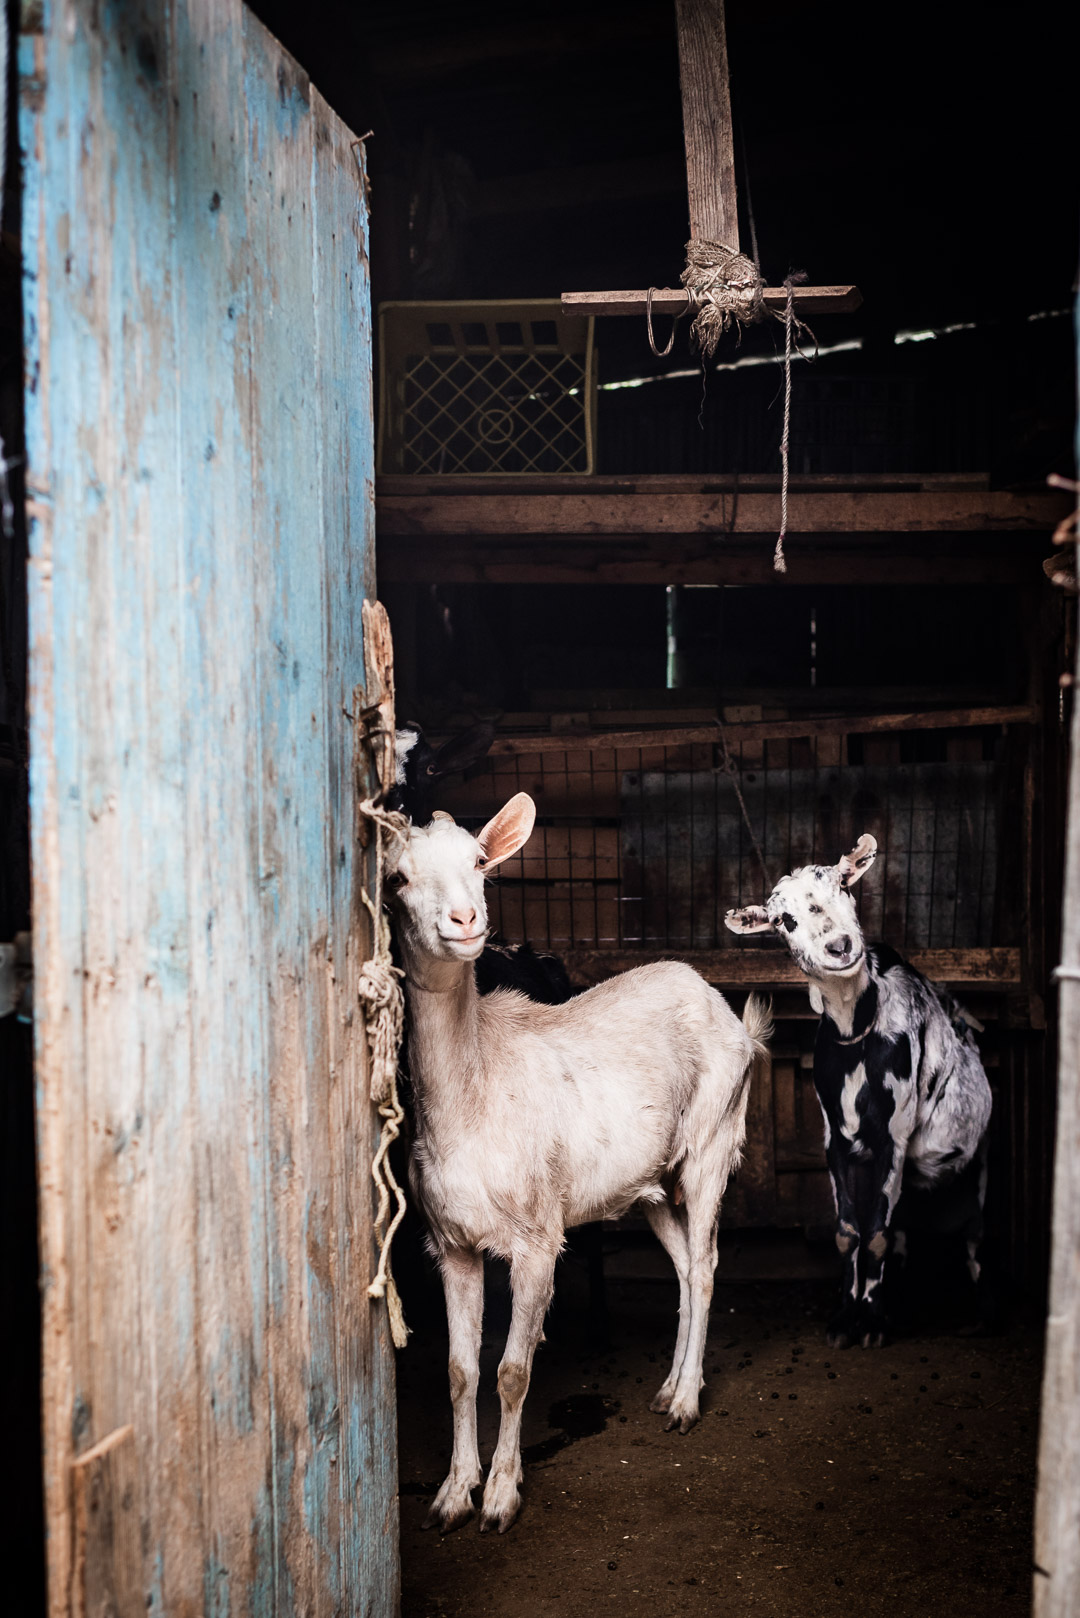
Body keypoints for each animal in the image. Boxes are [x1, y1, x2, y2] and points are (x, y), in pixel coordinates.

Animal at [388, 792, 767, 1527]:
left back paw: (686, 1402)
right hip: (650, 1180)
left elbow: (512, 1372)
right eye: (398, 878)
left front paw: (500, 1496)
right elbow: (459, 1371)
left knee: (707, 1263)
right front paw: (453, 1493)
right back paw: (668, 1387)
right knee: (683, 1264)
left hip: (713, 1138)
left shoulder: (539, 1238)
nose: (464, 921)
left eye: (480, 862)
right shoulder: (451, 1242)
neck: (475, 1092)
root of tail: (725, 1010)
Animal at [722, 841, 990, 1346]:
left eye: (844, 886)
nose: (840, 945)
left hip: (978, 1158)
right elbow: (849, 1231)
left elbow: (877, 1233)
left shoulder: (895, 1138)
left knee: (972, 1233)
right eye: (783, 919)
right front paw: (845, 1318)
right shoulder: (835, 1141)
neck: (856, 1032)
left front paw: (873, 1323)